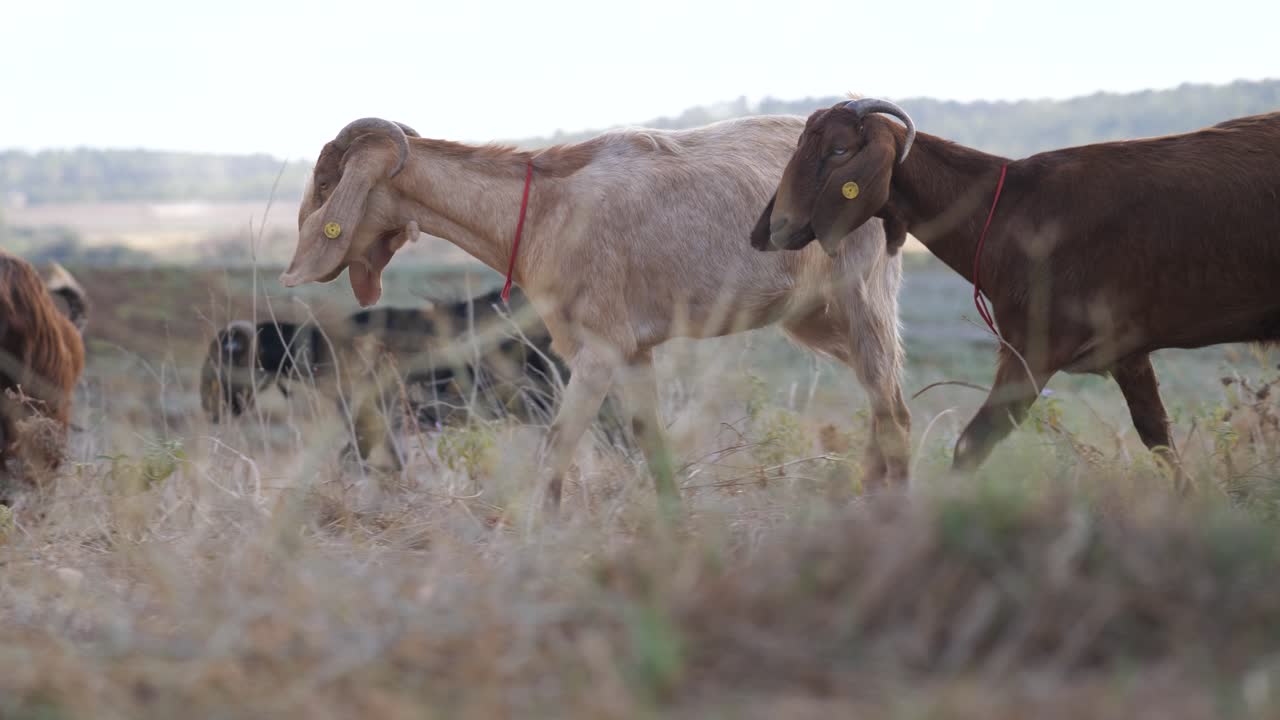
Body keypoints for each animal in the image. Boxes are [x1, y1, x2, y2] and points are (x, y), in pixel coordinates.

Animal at [280, 116, 910, 509]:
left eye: (326, 181)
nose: (293, 269)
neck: (543, 207)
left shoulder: (598, 348)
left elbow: (557, 446)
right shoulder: (633, 352)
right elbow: (650, 445)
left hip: (862, 300)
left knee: (895, 413)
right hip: (817, 319)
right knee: (884, 409)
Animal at [754, 98, 1280, 486]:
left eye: (840, 150)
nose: (777, 226)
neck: (1009, 207)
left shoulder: (1036, 348)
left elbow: (973, 444)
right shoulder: (1125, 351)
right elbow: (1157, 438)